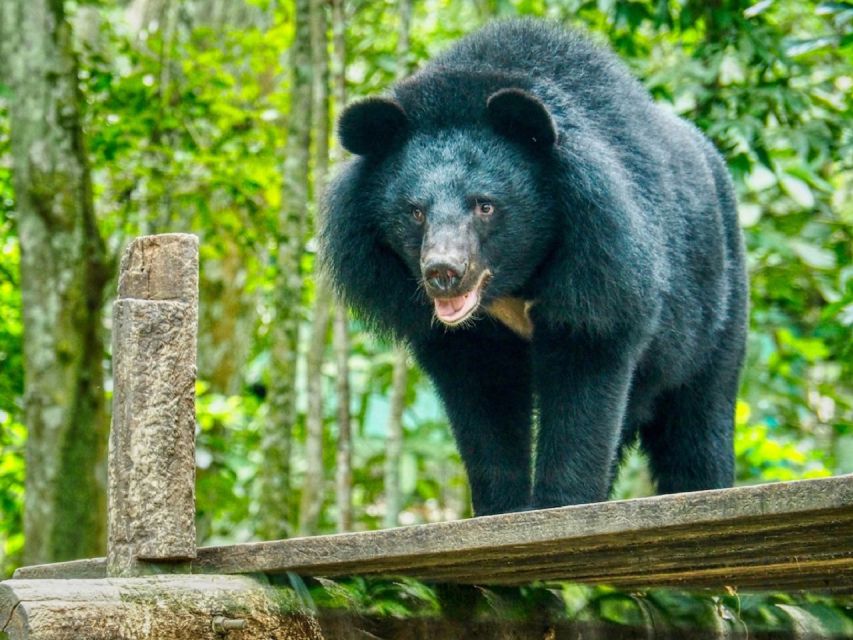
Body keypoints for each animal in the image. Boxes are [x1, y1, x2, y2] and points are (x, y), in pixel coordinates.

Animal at [320, 20, 744, 516]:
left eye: (485, 205)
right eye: (415, 212)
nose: (443, 272)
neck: (512, 283)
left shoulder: (601, 266)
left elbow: (584, 379)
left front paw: (561, 503)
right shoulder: (461, 334)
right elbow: (484, 400)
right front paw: (502, 509)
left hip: (716, 310)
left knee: (698, 420)